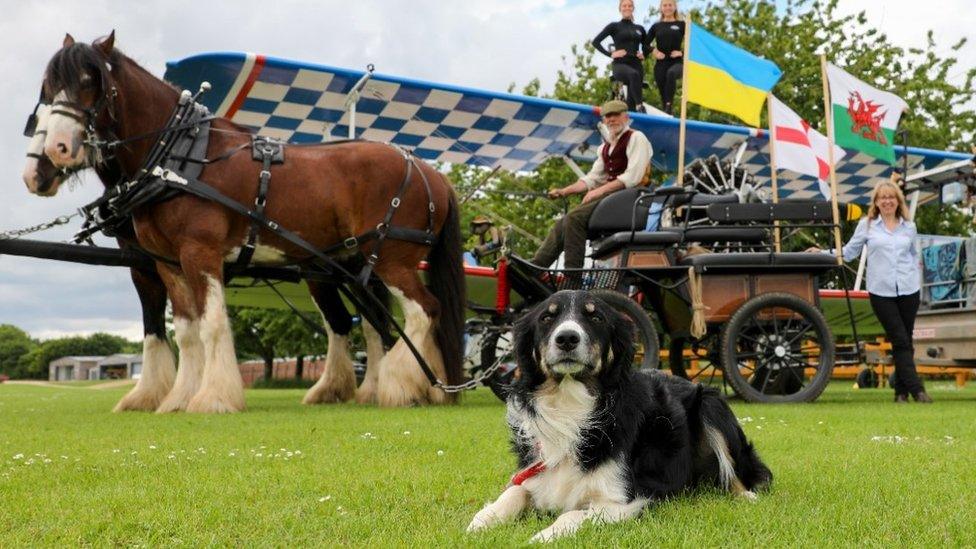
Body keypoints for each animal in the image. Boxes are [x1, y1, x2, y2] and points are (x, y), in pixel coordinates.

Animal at [32, 33, 468, 412]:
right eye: (49, 86)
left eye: (89, 81)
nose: (56, 150)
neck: (181, 157)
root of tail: (431, 173)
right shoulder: (167, 263)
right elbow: (186, 332)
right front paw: (177, 399)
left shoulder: (199, 253)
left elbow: (211, 325)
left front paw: (213, 398)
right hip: (354, 266)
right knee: (378, 322)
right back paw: (423, 388)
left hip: (394, 258)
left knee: (423, 311)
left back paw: (404, 384)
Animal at [468, 292, 772, 540]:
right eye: (547, 317)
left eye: (596, 317)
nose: (567, 338)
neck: (570, 405)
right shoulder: (535, 472)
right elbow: (514, 491)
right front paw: (480, 522)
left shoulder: (622, 500)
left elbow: (572, 514)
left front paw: (544, 535)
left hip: (712, 404)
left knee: (739, 474)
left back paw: (746, 496)